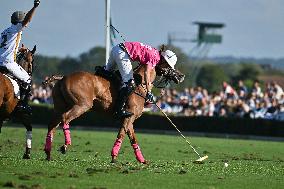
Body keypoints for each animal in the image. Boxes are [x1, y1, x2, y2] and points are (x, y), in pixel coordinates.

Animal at [43, 63, 183, 162]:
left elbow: (133, 138)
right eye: (169, 65)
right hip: (82, 105)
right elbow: (121, 134)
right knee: (65, 118)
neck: (139, 85)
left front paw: (142, 160)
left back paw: (48, 152)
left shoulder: (129, 118)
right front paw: (114, 156)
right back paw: (65, 145)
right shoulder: (128, 118)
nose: (181, 76)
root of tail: (63, 77)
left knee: (52, 125)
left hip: (59, 106)